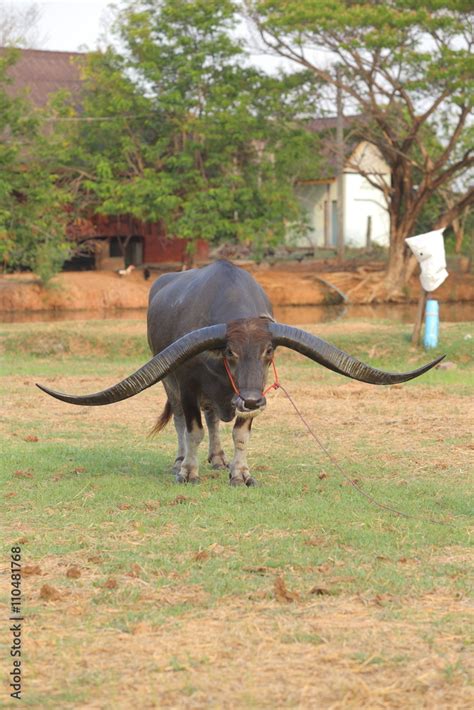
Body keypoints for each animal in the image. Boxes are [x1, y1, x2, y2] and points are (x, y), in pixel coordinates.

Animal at [39, 262, 442, 490]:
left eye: (269, 352)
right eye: (230, 352)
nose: (249, 399)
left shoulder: (251, 393)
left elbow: (238, 434)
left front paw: (239, 474)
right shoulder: (187, 382)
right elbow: (193, 429)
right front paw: (188, 473)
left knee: (213, 417)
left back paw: (218, 459)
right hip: (169, 381)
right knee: (183, 422)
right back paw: (181, 460)